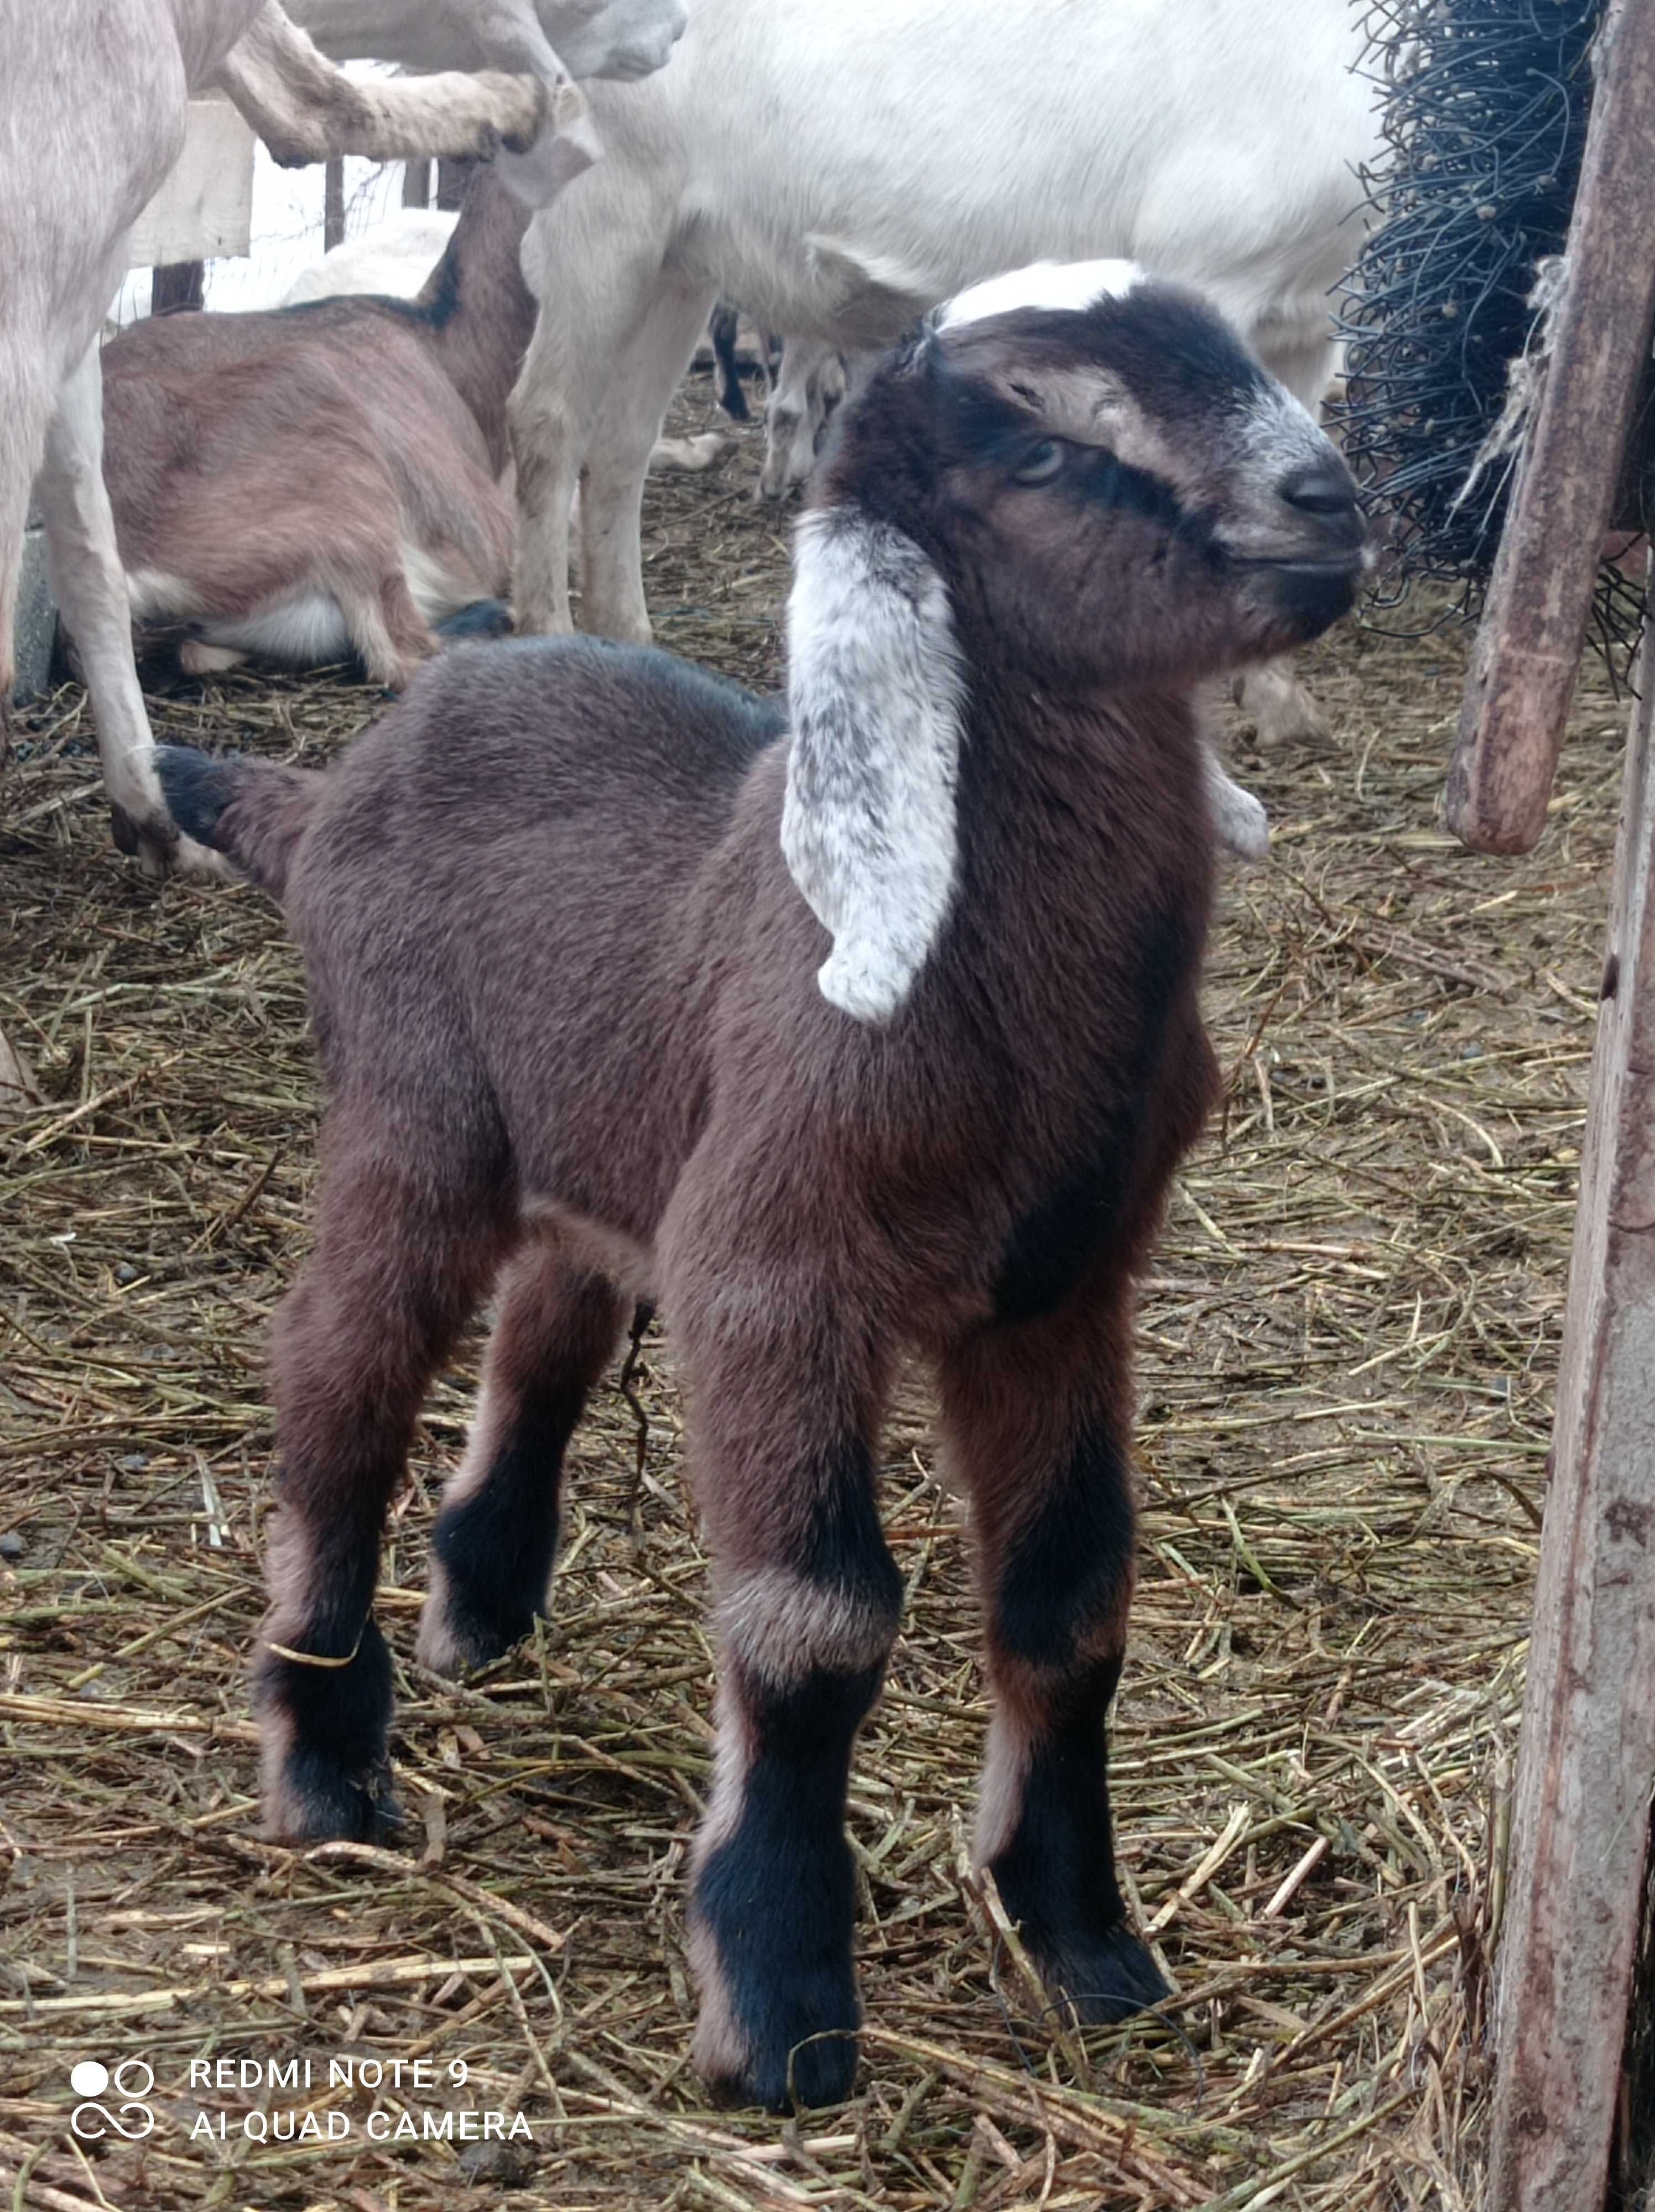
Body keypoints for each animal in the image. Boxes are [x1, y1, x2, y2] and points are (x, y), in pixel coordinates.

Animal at [158, 268, 1372, 2115]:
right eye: (1040, 440)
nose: (1331, 506)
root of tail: (340, 777)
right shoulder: (779, 1271)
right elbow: (816, 1625)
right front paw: (783, 1996)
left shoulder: (1065, 1289)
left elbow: (1073, 1596)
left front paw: (1084, 1939)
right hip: (413, 1115)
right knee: (337, 1380)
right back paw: (324, 1762)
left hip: (610, 1146)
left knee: (543, 1337)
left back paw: (481, 1605)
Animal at [507, 0, 1381, 743]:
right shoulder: (1206, 275)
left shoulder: (1307, 326)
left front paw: (1278, 701)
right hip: (602, 209)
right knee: (546, 422)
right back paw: (548, 638)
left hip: (679, 260)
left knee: (621, 445)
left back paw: (630, 640)